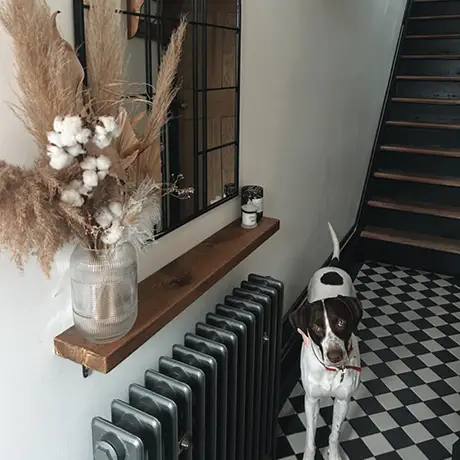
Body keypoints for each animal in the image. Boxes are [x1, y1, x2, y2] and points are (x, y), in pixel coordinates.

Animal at [292, 223, 362, 460]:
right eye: (316, 328)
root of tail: (333, 265)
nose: (335, 356)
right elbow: (310, 437)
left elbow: (334, 434)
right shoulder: (311, 400)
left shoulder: (343, 401)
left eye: (341, 322)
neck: (330, 372)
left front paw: (333, 455)